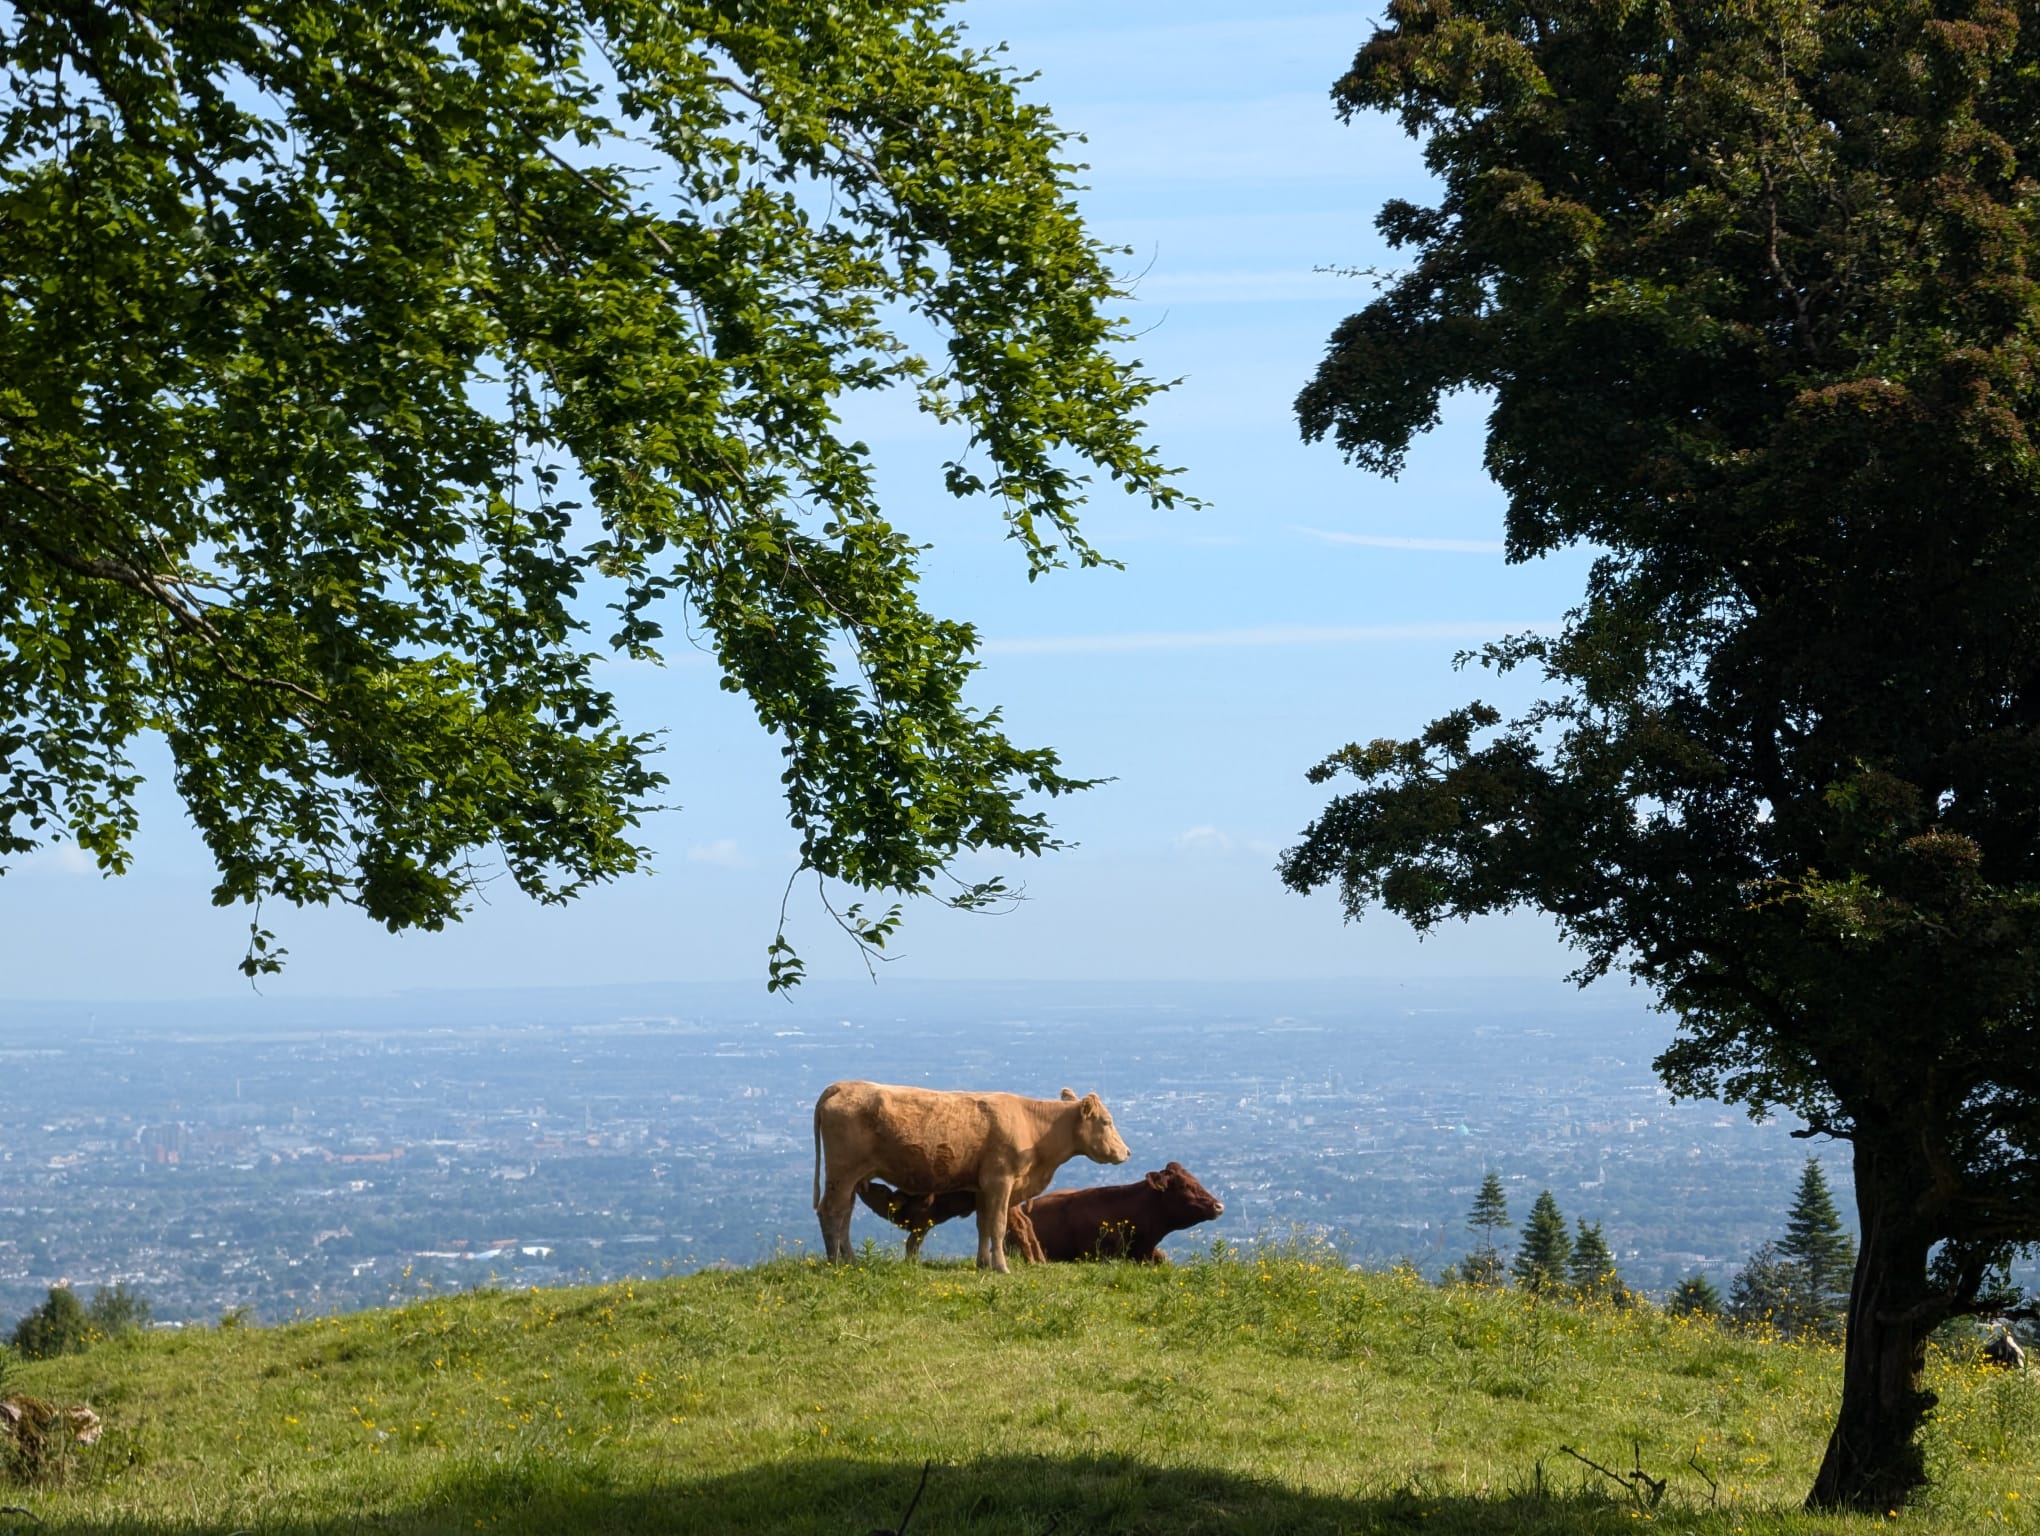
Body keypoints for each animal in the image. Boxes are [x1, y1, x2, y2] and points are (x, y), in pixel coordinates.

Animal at [813, 1081, 1130, 1272]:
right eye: (1106, 1121)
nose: (1126, 1152)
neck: (1033, 1128)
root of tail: (842, 1085)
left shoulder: (981, 1187)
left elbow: (983, 1225)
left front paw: (983, 1263)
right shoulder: (1000, 1180)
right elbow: (998, 1225)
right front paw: (1001, 1267)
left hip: (852, 1177)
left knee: (844, 1214)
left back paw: (850, 1260)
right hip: (842, 1172)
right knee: (831, 1212)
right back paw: (835, 1262)